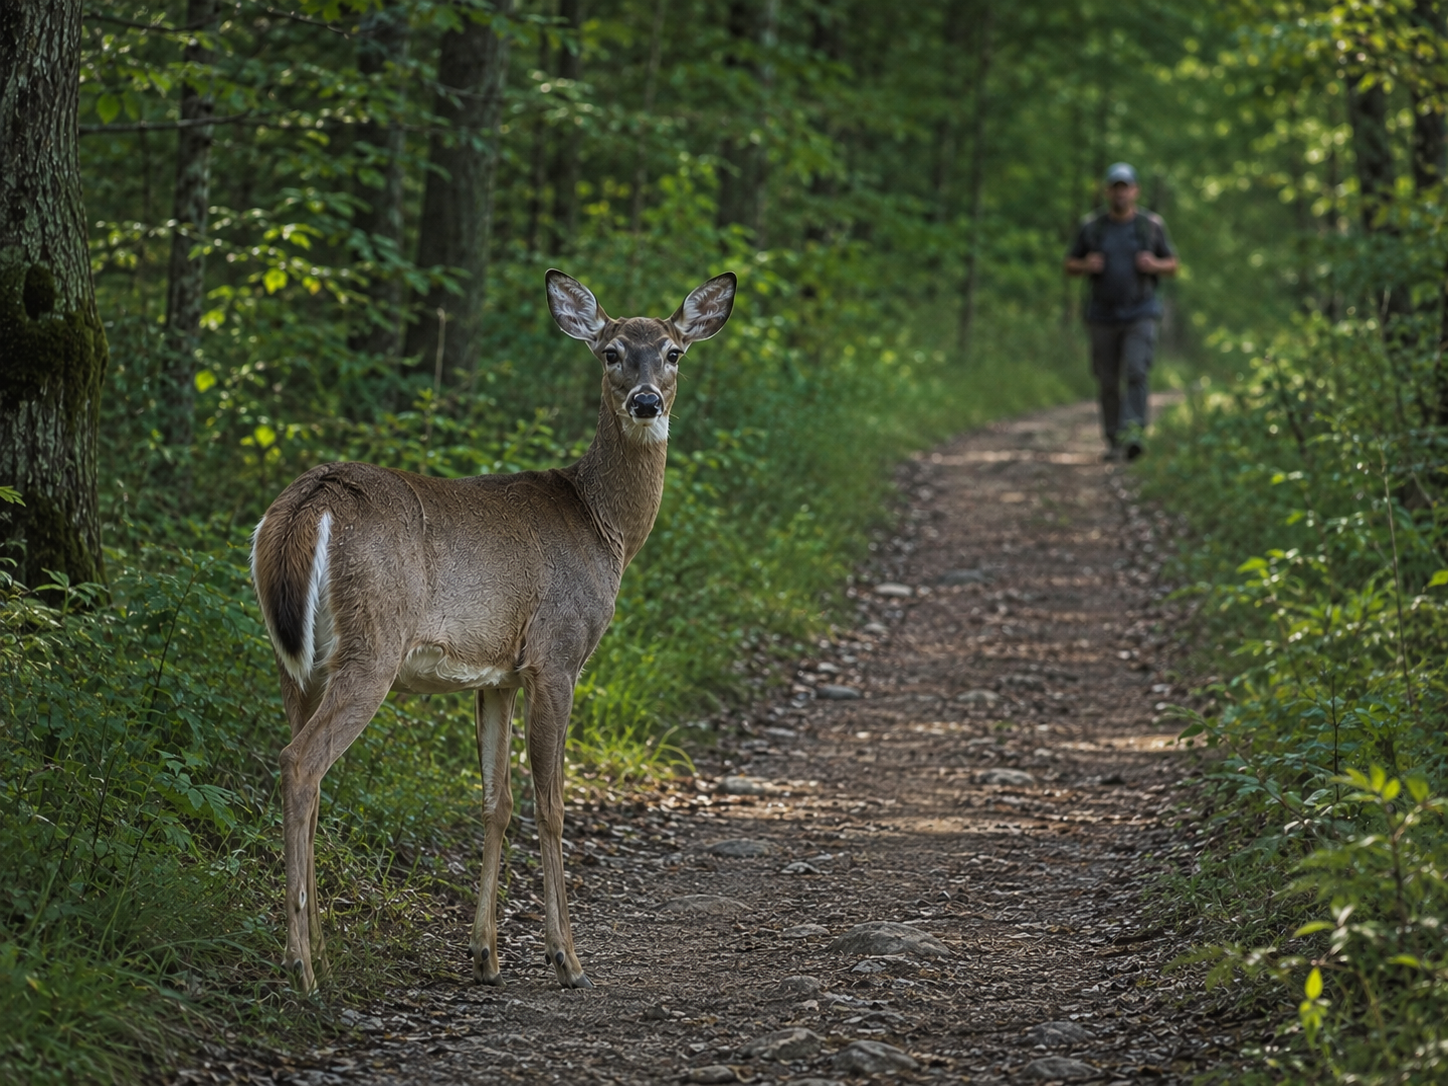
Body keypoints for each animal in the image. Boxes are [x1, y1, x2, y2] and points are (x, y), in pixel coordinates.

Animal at [250, 269, 736, 993]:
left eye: (674, 352)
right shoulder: (556, 654)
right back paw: (302, 967)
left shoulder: (497, 674)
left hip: (293, 661)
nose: (647, 402)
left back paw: (321, 954)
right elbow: (551, 803)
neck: (605, 527)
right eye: (612, 352)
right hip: (372, 645)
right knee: (300, 762)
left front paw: (485, 954)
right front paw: (566, 958)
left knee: (305, 765)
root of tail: (309, 501)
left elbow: (495, 802)